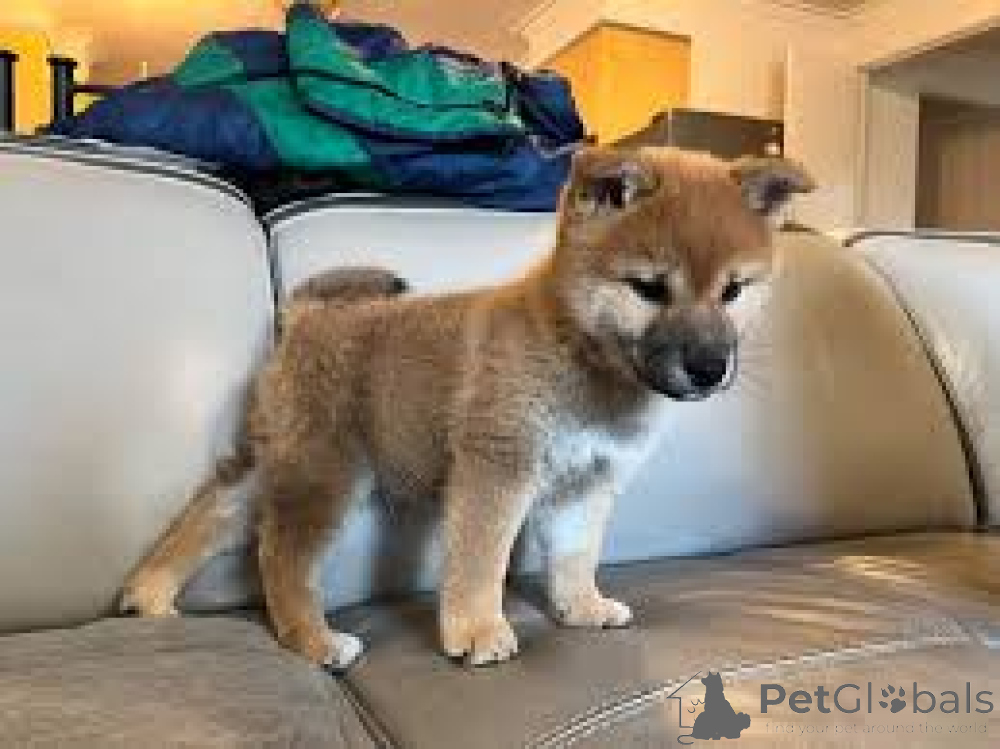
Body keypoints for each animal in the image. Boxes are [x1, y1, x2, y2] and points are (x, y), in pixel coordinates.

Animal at [120, 146, 814, 669]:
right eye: (648, 289)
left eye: (734, 290)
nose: (710, 368)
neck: (582, 358)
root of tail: (308, 314)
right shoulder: (498, 466)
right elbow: (483, 559)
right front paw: (478, 631)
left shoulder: (587, 481)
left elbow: (574, 555)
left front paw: (581, 606)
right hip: (325, 472)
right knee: (279, 556)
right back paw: (315, 642)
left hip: (275, 457)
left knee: (212, 512)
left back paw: (148, 595)